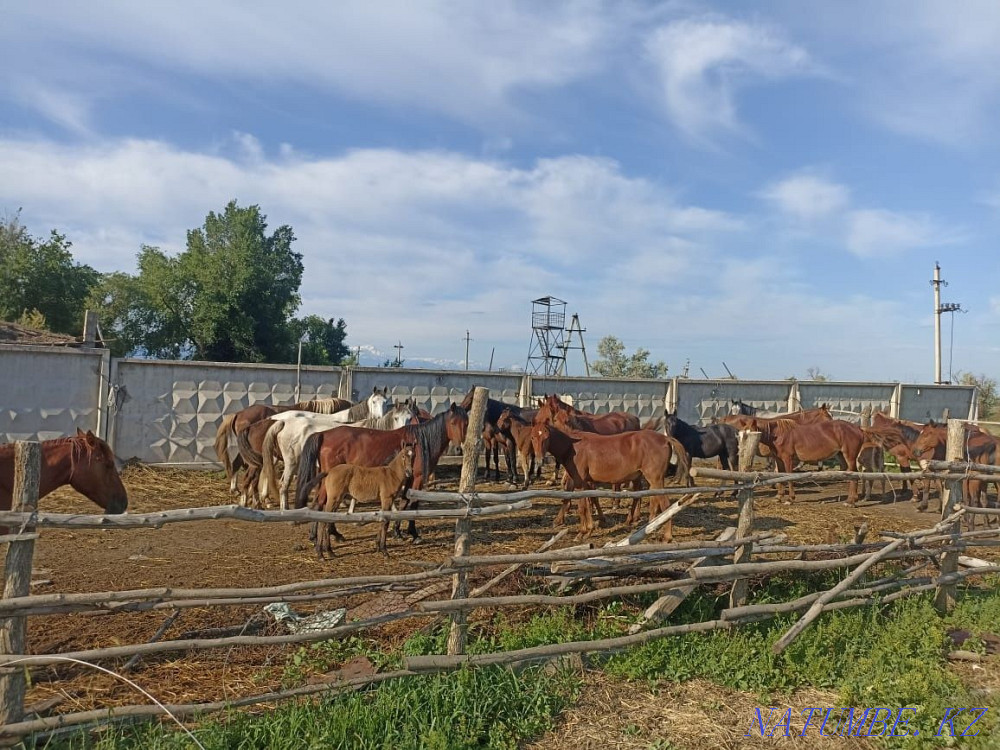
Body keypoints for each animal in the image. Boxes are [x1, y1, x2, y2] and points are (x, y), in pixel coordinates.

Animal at [260, 399, 416, 510]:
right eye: (396, 418)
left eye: (410, 417)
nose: (406, 435)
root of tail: (281, 421)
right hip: (291, 462)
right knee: (282, 484)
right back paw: (283, 508)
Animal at [296, 404, 468, 544]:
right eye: (453, 423)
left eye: (466, 423)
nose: (459, 449)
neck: (420, 443)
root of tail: (323, 434)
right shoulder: (417, 478)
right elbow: (412, 503)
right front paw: (413, 534)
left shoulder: (408, 479)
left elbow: (404, 502)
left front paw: (398, 531)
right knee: (321, 502)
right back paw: (325, 535)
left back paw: (327, 534)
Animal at [530, 422, 690, 541]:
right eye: (532, 438)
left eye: (546, 437)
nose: (539, 461)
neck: (573, 447)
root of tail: (665, 439)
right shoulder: (586, 483)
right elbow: (588, 503)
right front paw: (589, 530)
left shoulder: (579, 482)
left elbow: (582, 507)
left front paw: (582, 532)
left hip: (655, 479)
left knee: (665, 504)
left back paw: (667, 536)